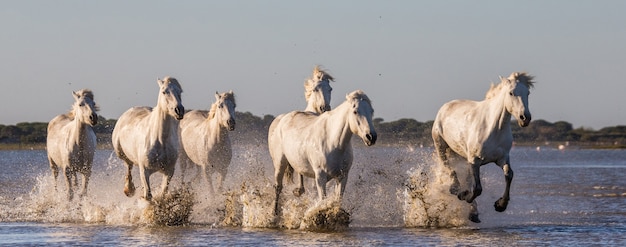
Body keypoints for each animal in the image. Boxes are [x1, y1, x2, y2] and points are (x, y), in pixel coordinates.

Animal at [432, 72, 532, 224]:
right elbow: (477, 189)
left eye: (528, 93)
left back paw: (473, 213)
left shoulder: (502, 159)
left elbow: (509, 175)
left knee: (467, 179)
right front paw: (464, 195)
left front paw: (500, 205)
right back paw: (455, 189)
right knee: (448, 167)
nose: (525, 118)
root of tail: (446, 106)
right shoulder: (475, 160)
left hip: (462, 155)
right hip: (441, 146)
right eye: (511, 93)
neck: (494, 128)